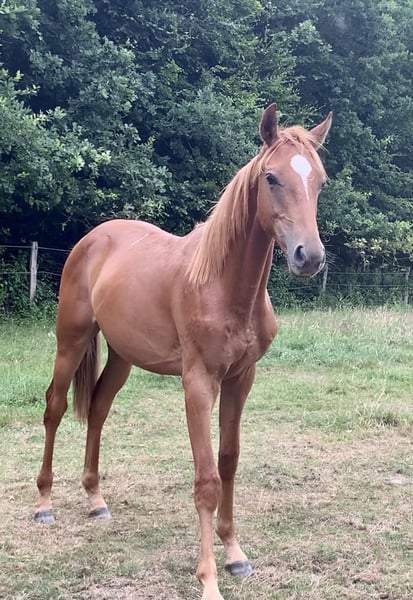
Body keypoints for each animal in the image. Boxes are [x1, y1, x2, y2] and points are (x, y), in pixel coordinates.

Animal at [35, 103, 332, 600]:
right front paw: (208, 579)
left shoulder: (240, 379)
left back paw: (96, 499)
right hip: (70, 340)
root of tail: (93, 239)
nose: (307, 257)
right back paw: (44, 503)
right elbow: (206, 479)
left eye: (321, 181)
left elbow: (228, 462)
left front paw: (235, 554)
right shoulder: (198, 383)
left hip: (122, 356)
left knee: (97, 409)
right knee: (54, 408)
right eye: (271, 177)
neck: (223, 285)